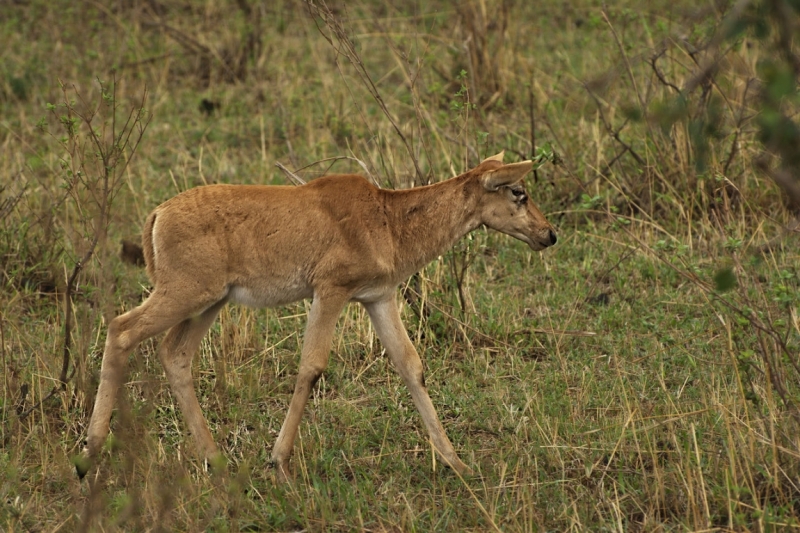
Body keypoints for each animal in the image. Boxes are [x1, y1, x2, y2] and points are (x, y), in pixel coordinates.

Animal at [79, 151, 556, 478]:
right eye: (518, 192)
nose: (549, 235)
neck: (387, 215)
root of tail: (157, 215)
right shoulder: (330, 291)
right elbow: (312, 366)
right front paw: (277, 460)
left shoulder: (377, 298)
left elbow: (411, 366)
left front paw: (457, 463)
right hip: (183, 294)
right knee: (121, 329)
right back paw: (89, 455)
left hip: (210, 302)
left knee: (174, 354)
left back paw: (216, 459)